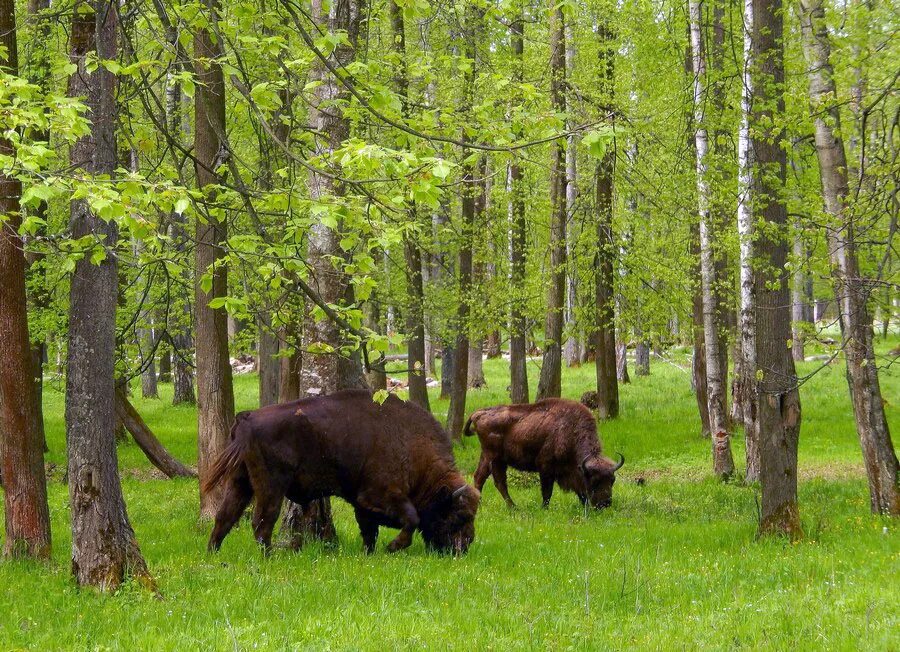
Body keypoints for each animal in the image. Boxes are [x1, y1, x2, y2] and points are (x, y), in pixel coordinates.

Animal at [464, 398, 624, 510]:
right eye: (594, 481)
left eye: (612, 480)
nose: (605, 504)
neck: (570, 431)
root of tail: (479, 413)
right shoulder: (546, 469)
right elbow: (547, 492)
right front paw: (544, 508)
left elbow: (580, 492)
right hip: (494, 458)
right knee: (493, 481)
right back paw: (511, 507)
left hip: (492, 458)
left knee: (485, 479)